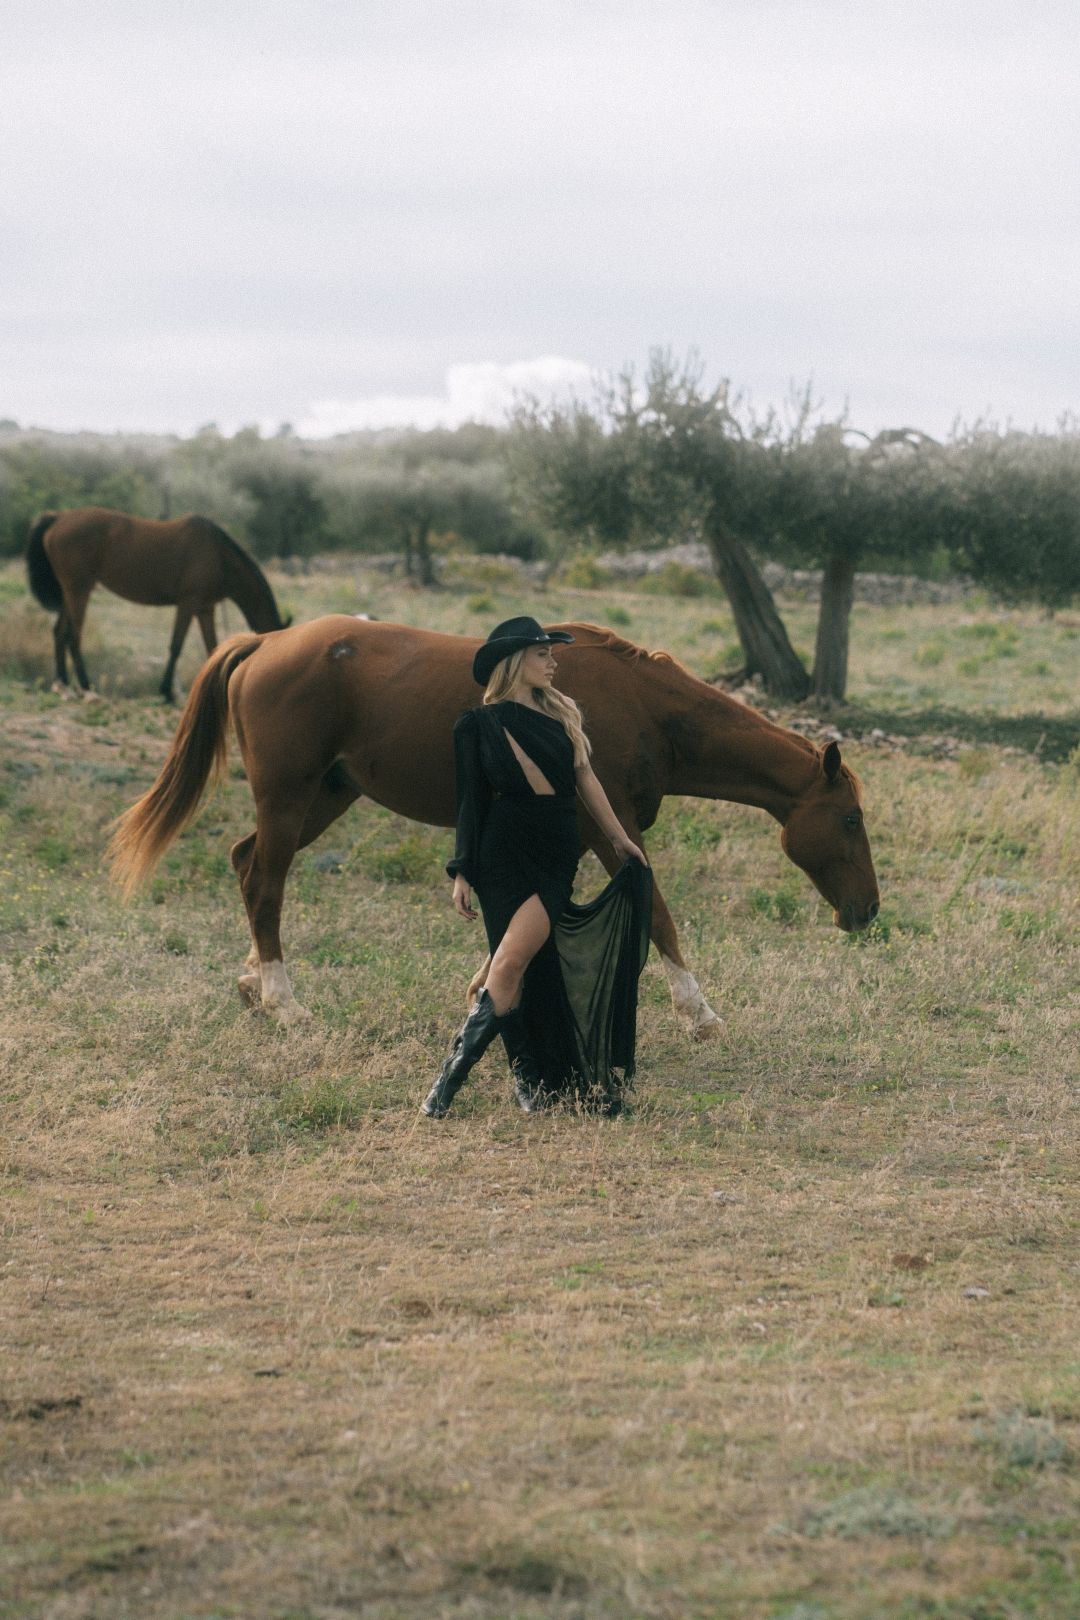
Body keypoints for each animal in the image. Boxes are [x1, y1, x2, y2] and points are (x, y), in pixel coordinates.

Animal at [25, 505, 286, 703]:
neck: (219, 556)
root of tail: (58, 518)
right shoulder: (188, 604)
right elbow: (176, 646)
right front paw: (167, 692)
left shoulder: (205, 608)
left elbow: (213, 647)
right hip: (79, 590)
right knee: (73, 636)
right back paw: (87, 688)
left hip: (70, 593)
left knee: (60, 632)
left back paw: (63, 686)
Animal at [110, 618, 880, 1036]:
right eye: (849, 818)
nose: (867, 911)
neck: (644, 708)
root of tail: (266, 641)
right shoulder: (607, 826)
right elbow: (656, 909)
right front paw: (701, 1014)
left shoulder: (573, 830)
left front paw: (484, 985)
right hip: (289, 797)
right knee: (266, 884)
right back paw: (286, 1003)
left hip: (325, 797)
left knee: (247, 865)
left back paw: (253, 986)